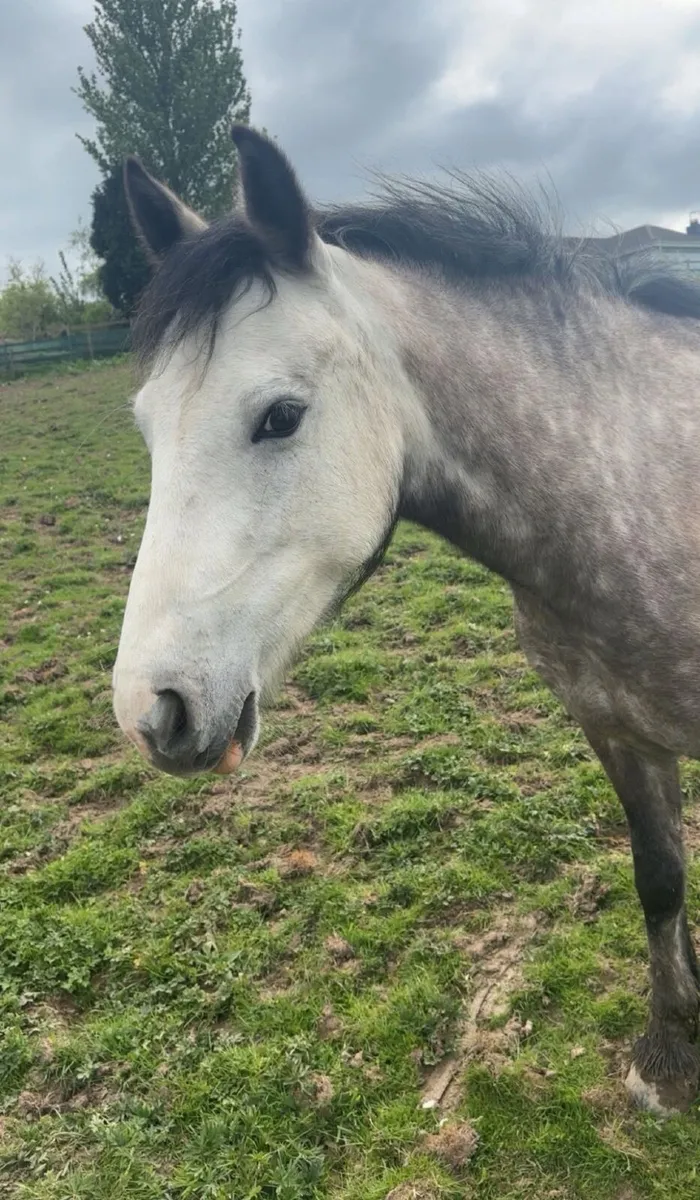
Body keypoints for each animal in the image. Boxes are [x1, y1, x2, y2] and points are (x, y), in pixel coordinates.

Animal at [113, 125, 700, 1117]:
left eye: (280, 416)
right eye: (147, 429)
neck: (641, 483)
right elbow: (659, 877)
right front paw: (669, 1055)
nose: (153, 709)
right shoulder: (617, 729)